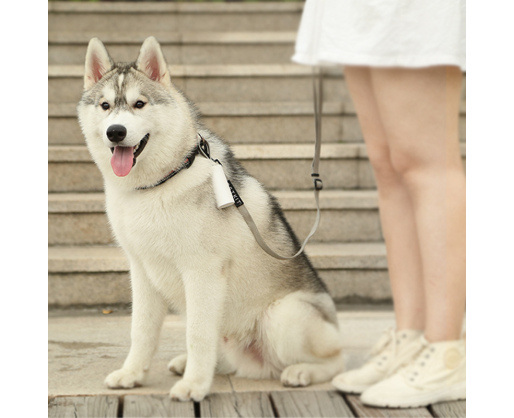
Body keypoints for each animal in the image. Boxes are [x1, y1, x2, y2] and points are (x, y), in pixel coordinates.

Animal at [77, 37, 344, 401]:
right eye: (105, 106)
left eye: (139, 104)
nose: (115, 132)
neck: (159, 182)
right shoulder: (142, 271)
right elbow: (141, 331)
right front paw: (133, 374)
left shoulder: (202, 272)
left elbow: (198, 334)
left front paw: (194, 385)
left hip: (284, 316)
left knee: (337, 359)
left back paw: (303, 371)